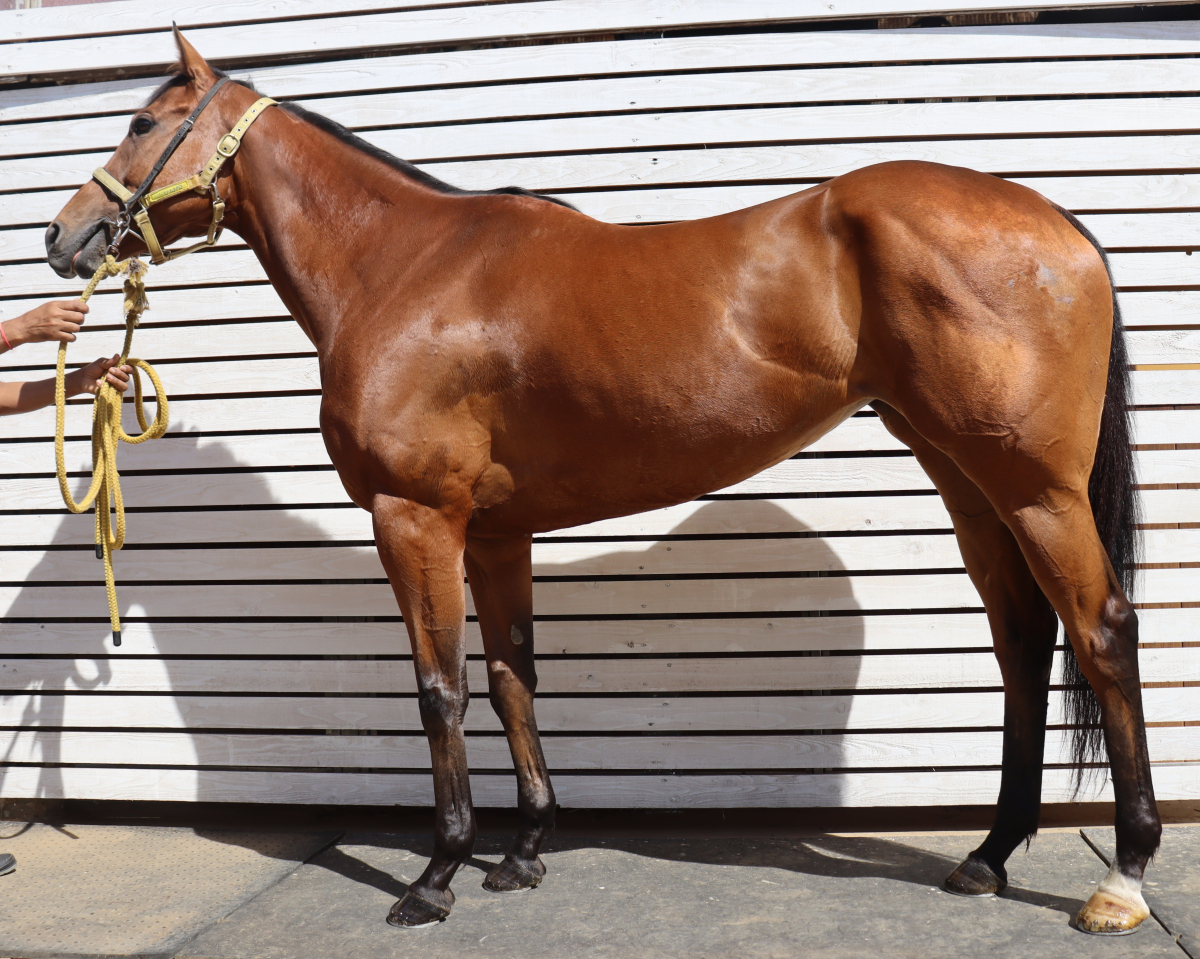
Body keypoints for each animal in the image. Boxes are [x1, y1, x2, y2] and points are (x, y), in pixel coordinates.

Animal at [46, 30, 1160, 933]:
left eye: (142, 122)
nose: (62, 237)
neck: (400, 268)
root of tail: (1054, 221)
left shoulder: (417, 519)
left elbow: (441, 690)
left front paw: (438, 873)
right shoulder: (497, 532)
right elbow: (513, 677)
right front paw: (524, 851)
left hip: (1035, 487)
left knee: (1101, 628)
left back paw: (1124, 874)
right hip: (967, 479)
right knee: (1023, 642)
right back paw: (988, 854)